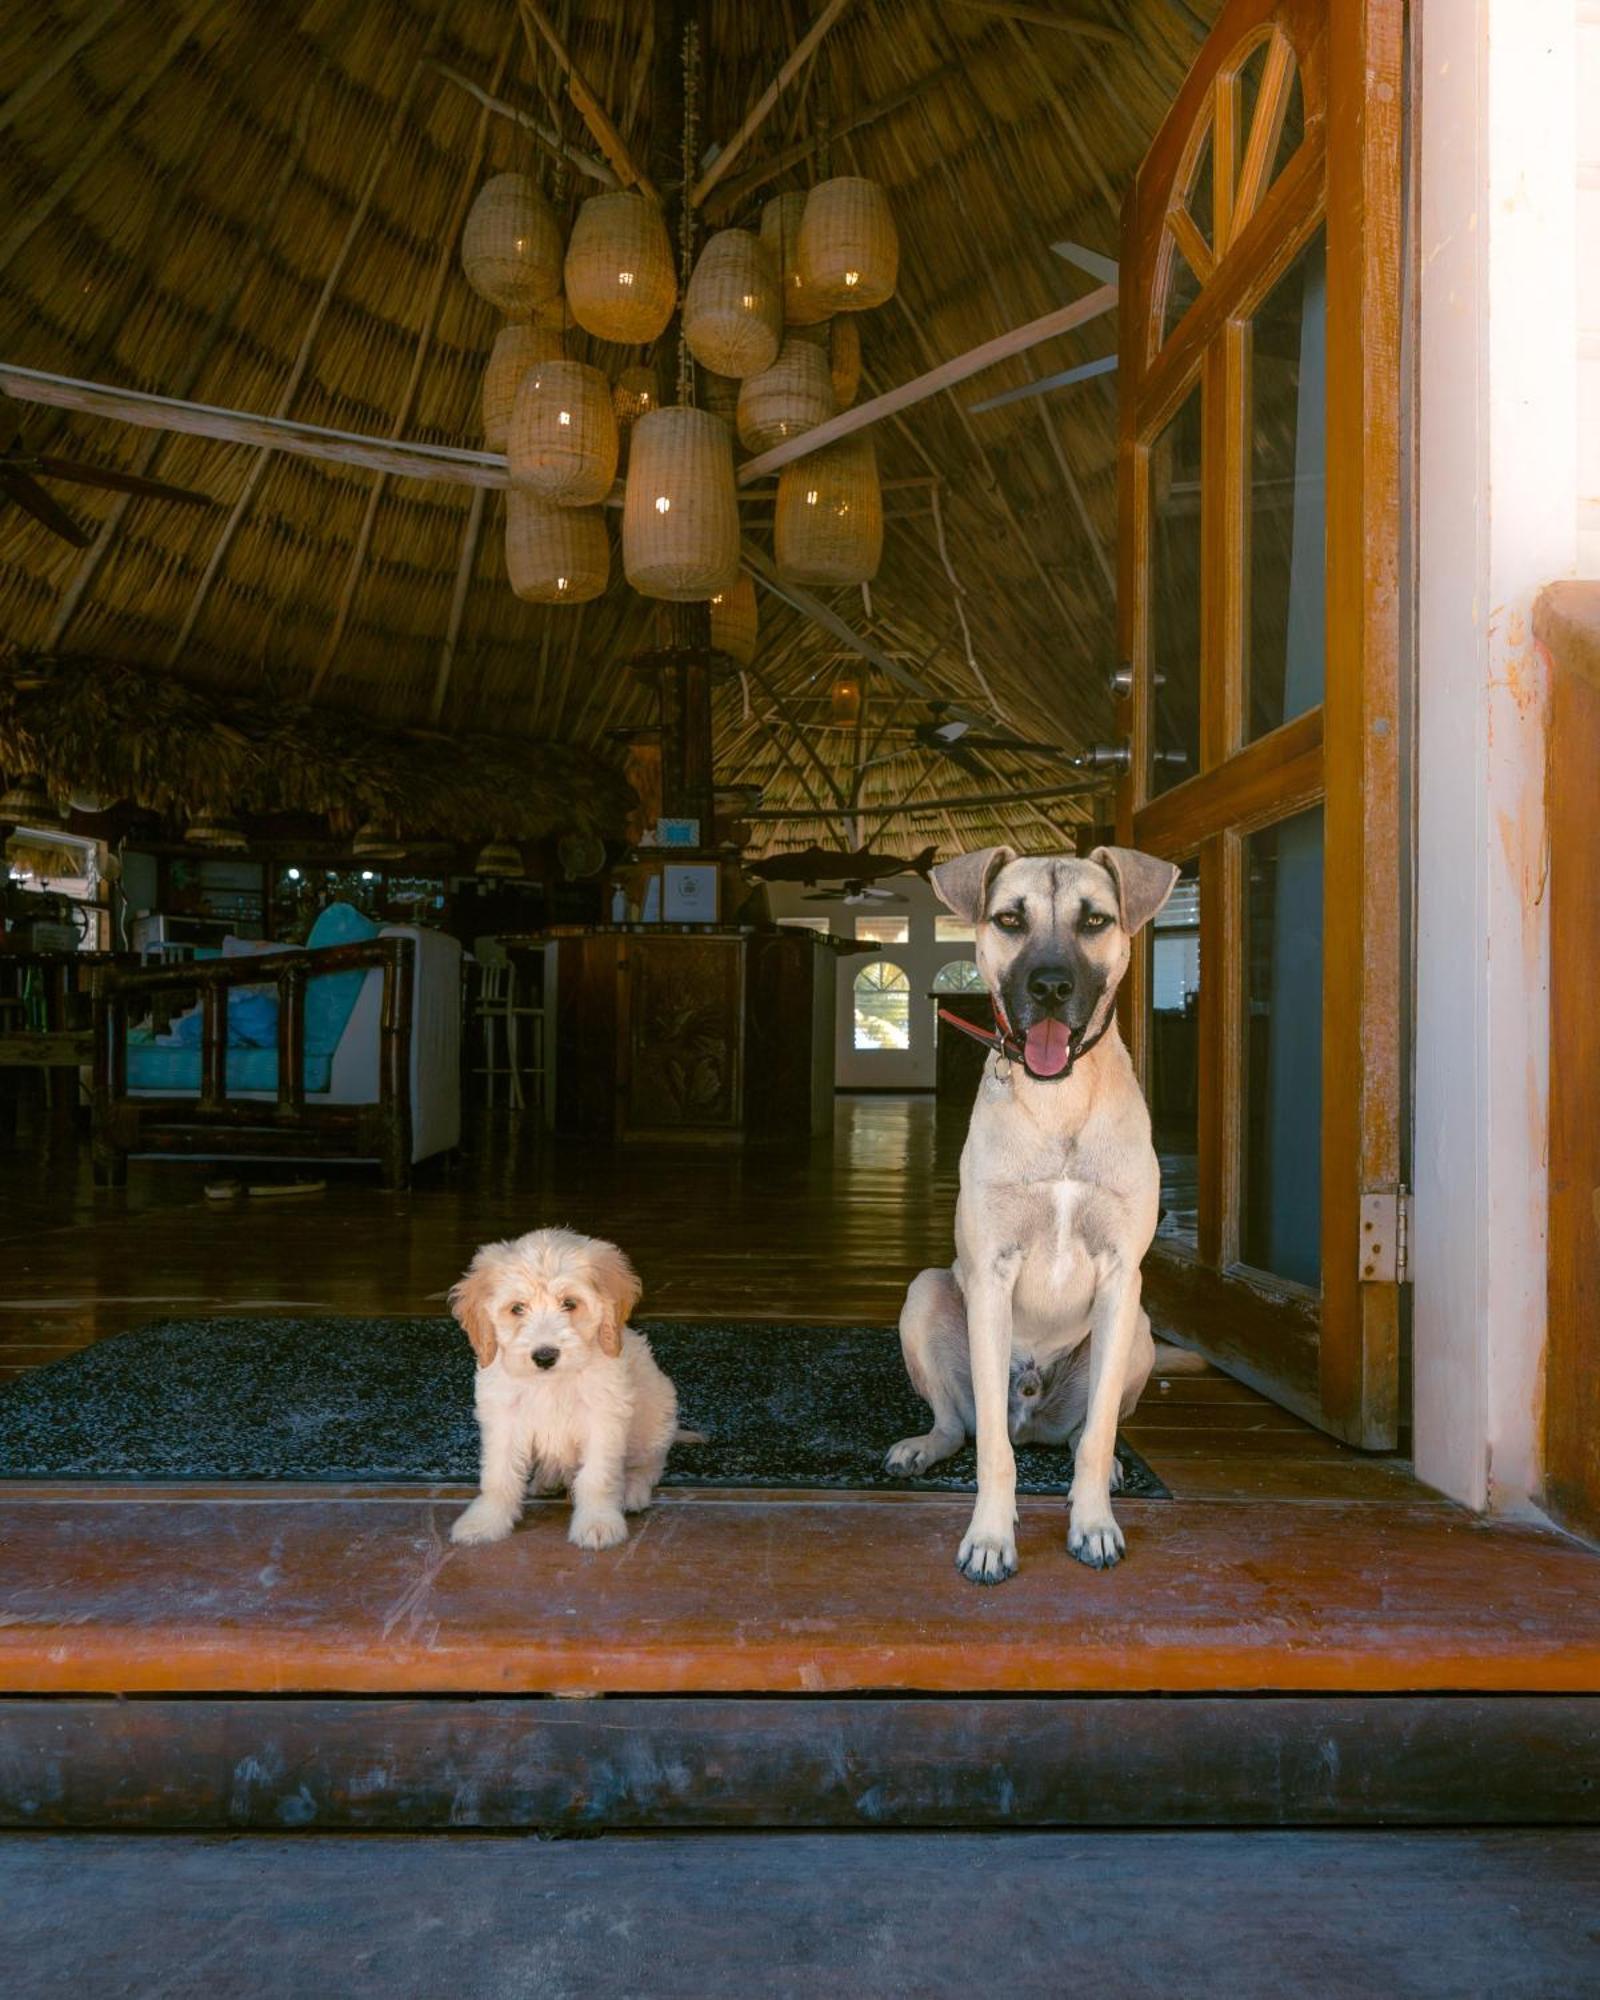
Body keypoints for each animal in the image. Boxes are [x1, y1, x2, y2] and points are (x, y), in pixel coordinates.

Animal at [444, 1224, 680, 1552]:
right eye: (517, 1308)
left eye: (569, 1303)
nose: (545, 1356)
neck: (551, 1382)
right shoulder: (503, 1416)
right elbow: (498, 1476)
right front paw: (485, 1520)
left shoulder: (603, 1416)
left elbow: (597, 1477)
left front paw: (598, 1522)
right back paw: (547, 1478)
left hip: (657, 1416)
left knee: (649, 1464)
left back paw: (632, 1490)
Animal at [888, 844, 1176, 1576]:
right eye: (1010, 919)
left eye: (1096, 919)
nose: (1049, 988)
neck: (1058, 1099)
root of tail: (1035, 1412)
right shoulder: (991, 1274)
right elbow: (991, 1447)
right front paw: (991, 1536)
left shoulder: (1120, 1278)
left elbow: (1098, 1433)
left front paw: (1093, 1523)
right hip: (925, 1293)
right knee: (957, 1424)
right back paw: (923, 1446)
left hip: (1138, 1328)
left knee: (1083, 1434)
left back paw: (1105, 1472)